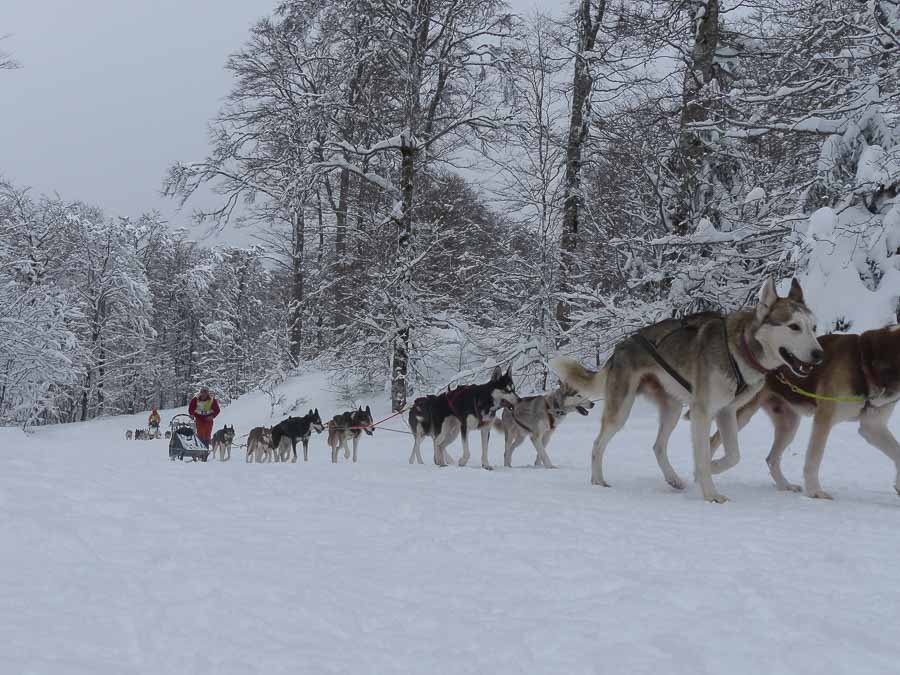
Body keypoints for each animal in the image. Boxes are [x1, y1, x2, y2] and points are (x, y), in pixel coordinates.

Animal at [548, 278, 824, 504]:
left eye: (813, 327)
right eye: (793, 326)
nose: (819, 355)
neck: (739, 350)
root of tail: (619, 347)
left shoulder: (726, 412)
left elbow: (733, 455)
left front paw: (712, 468)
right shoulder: (702, 412)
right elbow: (703, 456)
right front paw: (710, 492)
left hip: (672, 409)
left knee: (658, 446)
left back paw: (673, 479)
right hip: (621, 410)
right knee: (598, 444)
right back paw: (597, 480)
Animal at [712, 324, 900, 500]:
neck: (865, 364)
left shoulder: (873, 426)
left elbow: (897, 451)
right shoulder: (824, 419)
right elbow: (814, 458)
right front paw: (815, 491)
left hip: (789, 424)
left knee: (771, 459)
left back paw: (785, 485)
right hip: (739, 413)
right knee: (712, 442)